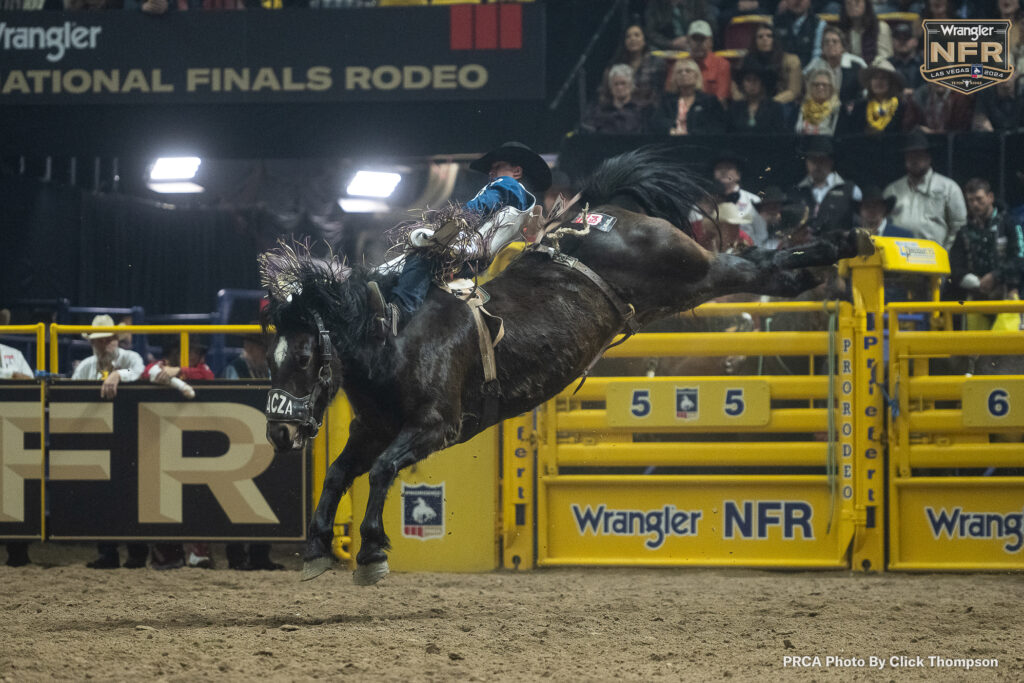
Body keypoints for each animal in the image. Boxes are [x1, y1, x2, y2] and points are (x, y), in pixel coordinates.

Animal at [256, 147, 864, 585]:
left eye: (305, 357)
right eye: (272, 360)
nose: (280, 433)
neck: (392, 335)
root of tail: (597, 212)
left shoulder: (434, 426)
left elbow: (382, 471)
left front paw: (372, 552)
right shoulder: (373, 427)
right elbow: (339, 473)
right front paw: (317, 547)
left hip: (693, 269)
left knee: (754, 266)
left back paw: (843, 243)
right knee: (762, 265)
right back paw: (820, 263)